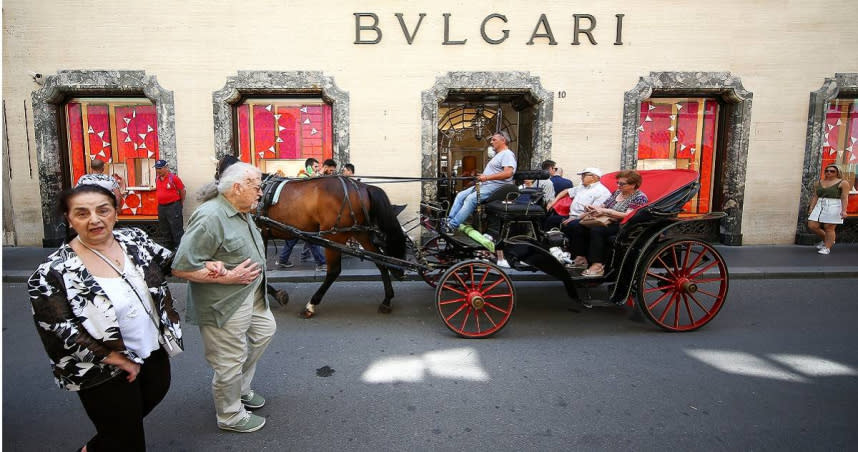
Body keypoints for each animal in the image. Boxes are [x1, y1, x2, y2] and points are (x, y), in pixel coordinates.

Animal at [258, 175, 408, 320]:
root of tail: (361, 186)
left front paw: (275, 293)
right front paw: (275, 293)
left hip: (334, 236)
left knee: (334, 271)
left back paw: (311, 305)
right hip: (360, 232)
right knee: (380, 262)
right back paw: (387, 300)